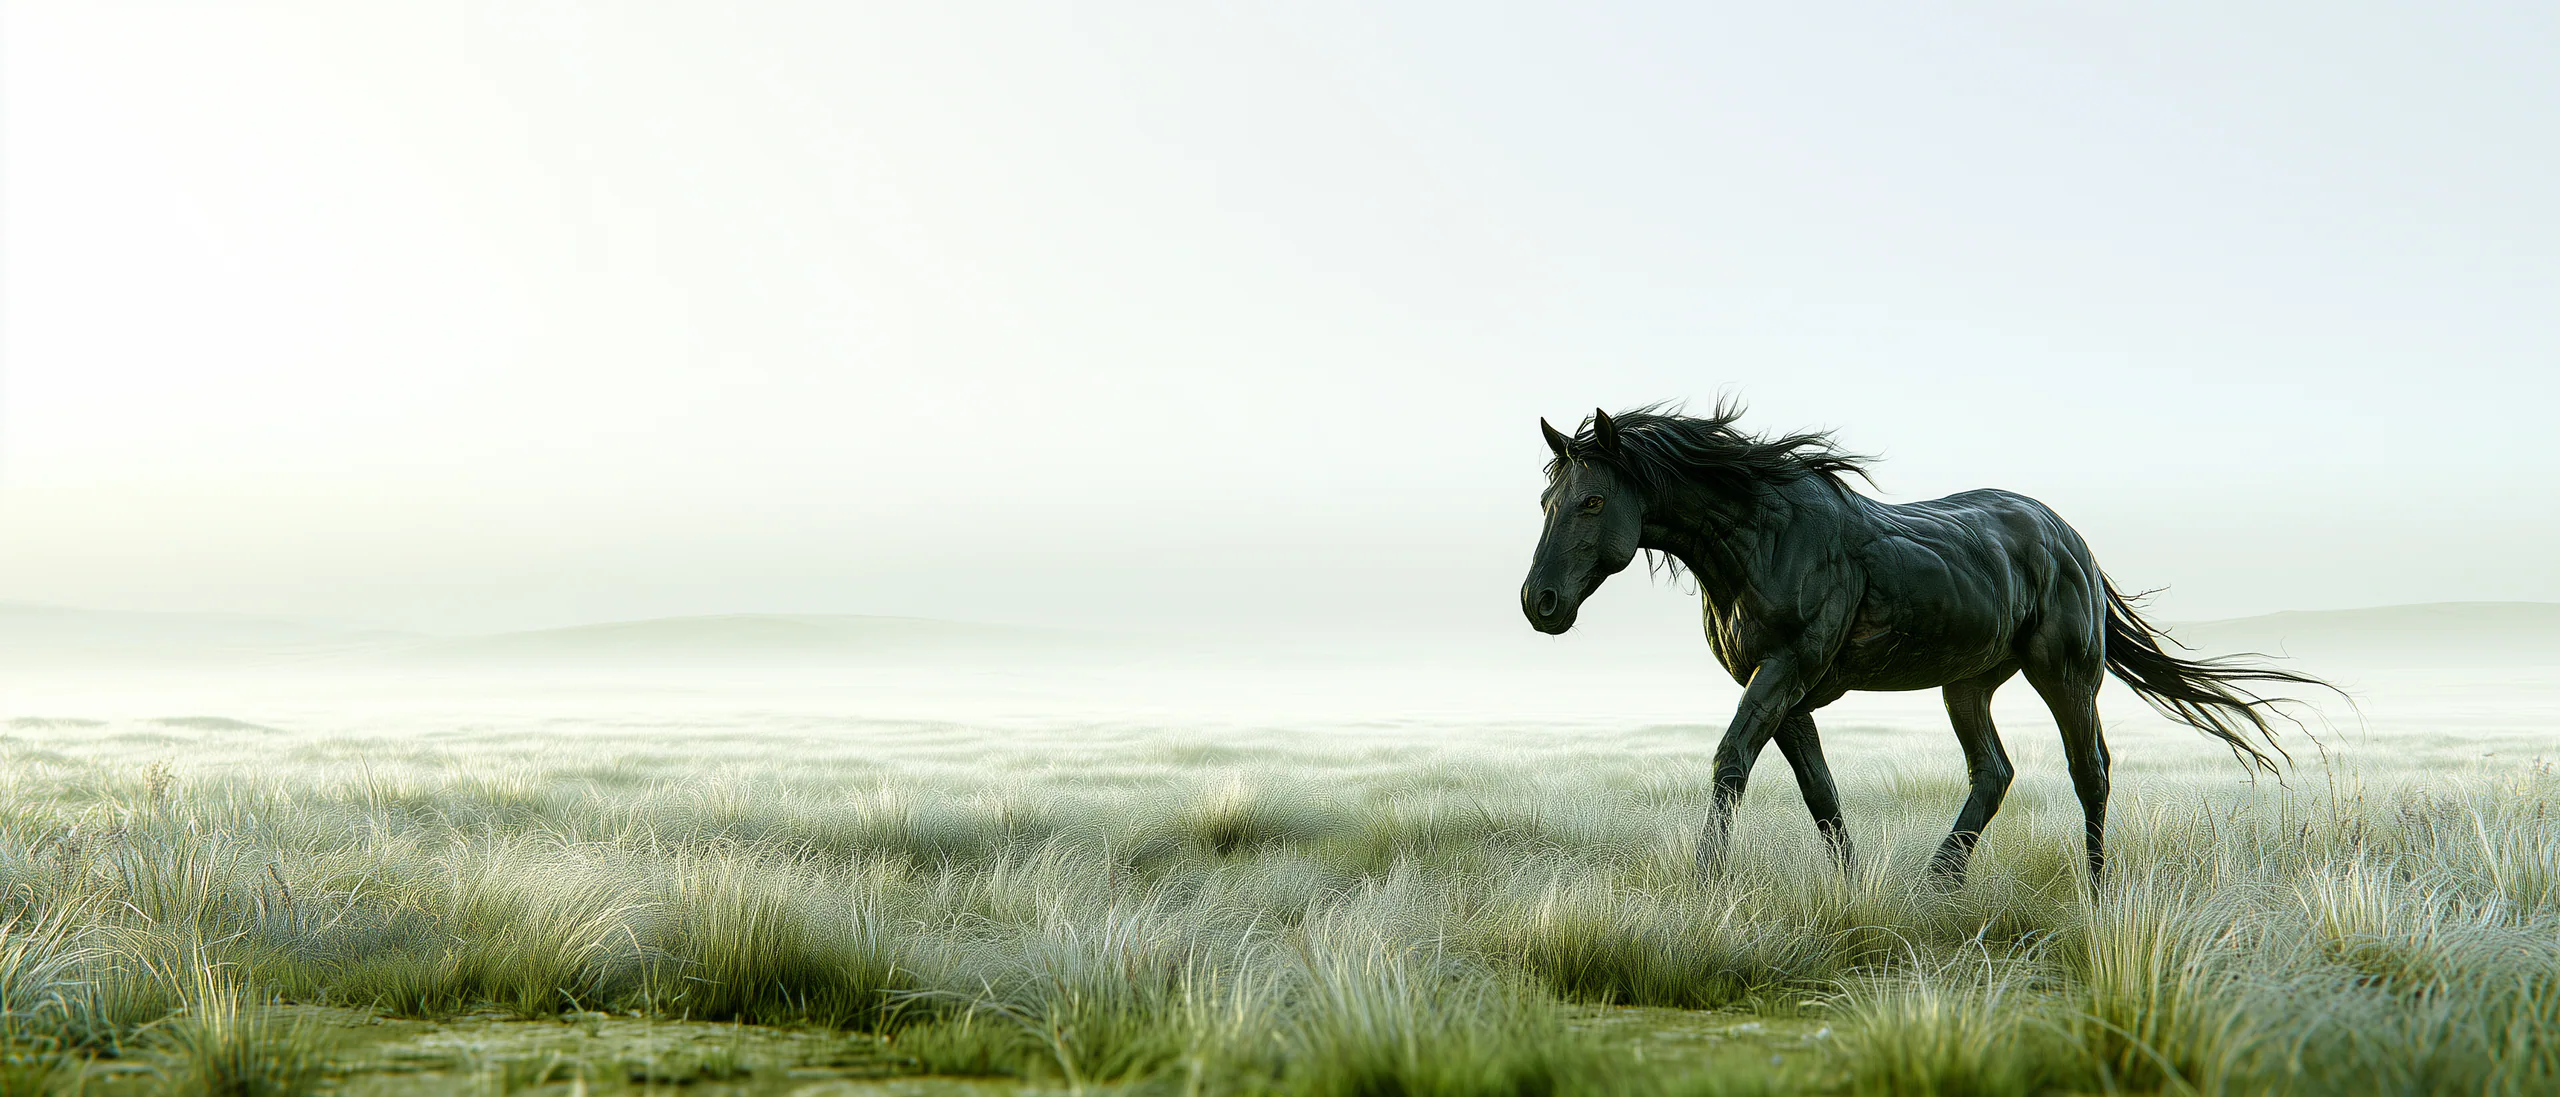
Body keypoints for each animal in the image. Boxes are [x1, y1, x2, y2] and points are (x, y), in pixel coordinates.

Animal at [1518, 403, 2333, 880]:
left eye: (1594, 501)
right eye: (1547, 498)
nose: (1539, 602)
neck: (1762, 535)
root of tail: (2071, 540)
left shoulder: (1785, 669)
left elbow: (1730, 760)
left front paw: (1704, 882)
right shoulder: (1786, 689)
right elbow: (1820, 791)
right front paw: (1852, 890)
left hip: (2066, 675)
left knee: (2090, 770)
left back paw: (2095, 891)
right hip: (1966, 684)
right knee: (1994, 773)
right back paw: (1939, 882)